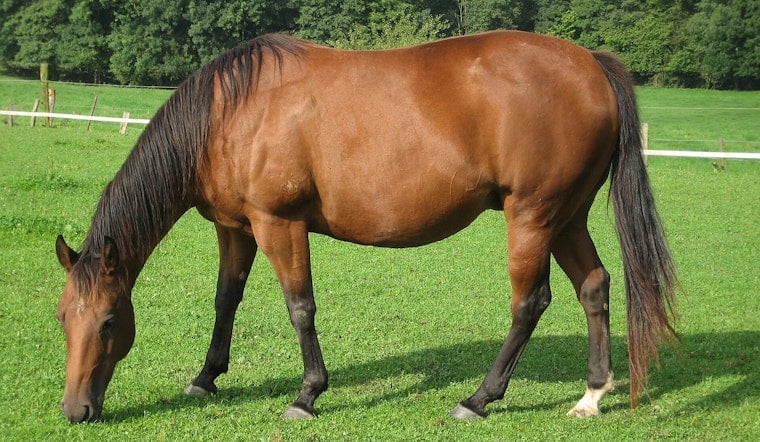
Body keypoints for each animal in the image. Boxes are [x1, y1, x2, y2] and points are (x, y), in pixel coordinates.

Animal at [54, 31, 678, 423]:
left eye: (109, 322)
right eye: (64, 318)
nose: (76, 411)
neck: (231, 113)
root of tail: (590, 63)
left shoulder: (279, 225)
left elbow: (299, 307)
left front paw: (307, 395)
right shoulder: (235, 228)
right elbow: (225, 298)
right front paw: (206, 378)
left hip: (532, 217)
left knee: (531, 303)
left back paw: (478, 398)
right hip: (566, 216)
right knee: (593, 287)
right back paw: (592, 394)